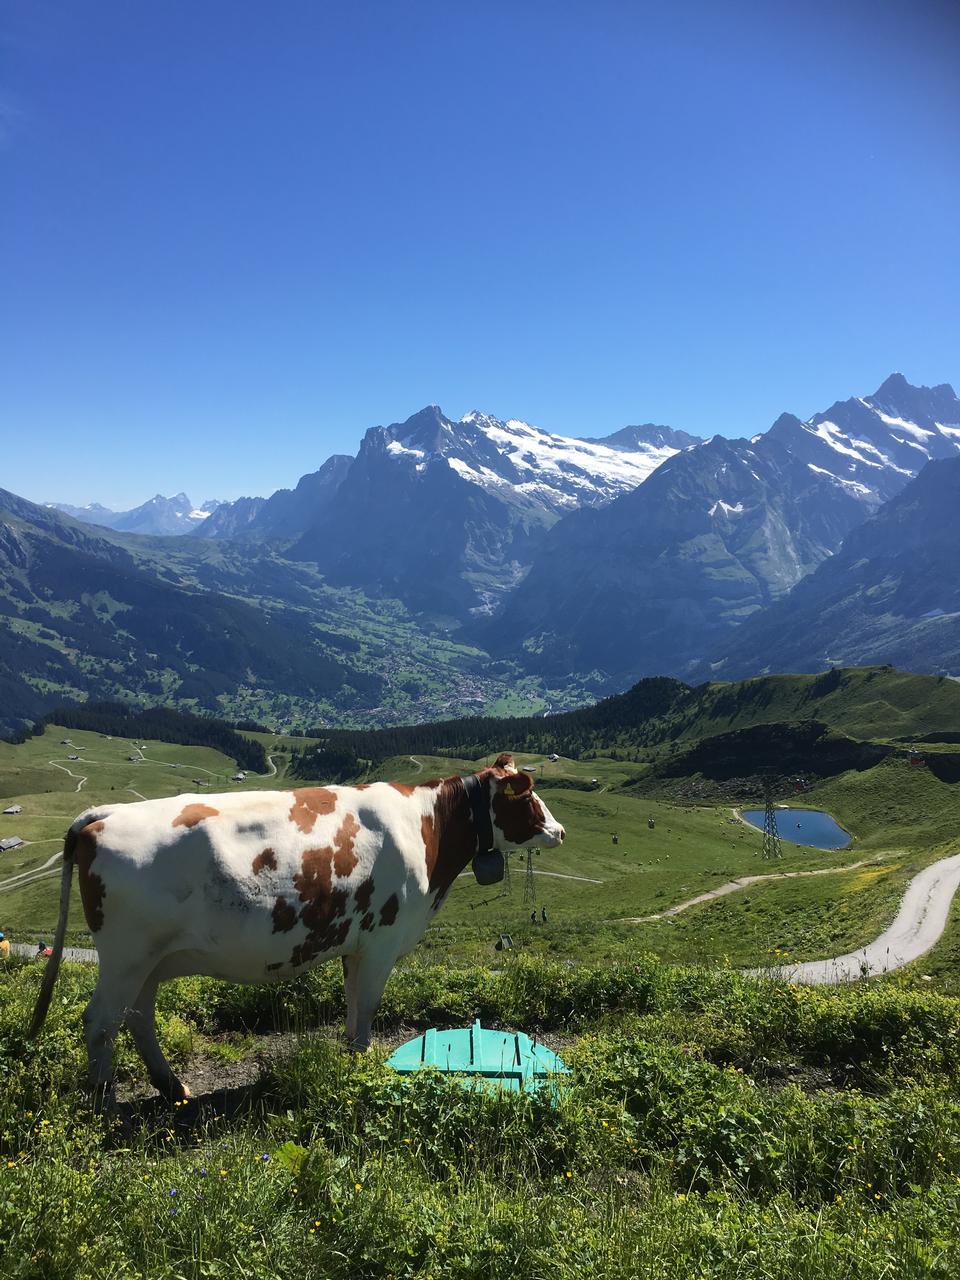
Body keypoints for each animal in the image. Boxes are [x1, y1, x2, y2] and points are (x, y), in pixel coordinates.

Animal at [30, 752, 568, 1105]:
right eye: (528, 797)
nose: (559, 831)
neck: (427, 827)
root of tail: (104, 815)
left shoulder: (356, 942)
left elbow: (352, 1002)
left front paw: (350, 1052)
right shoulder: (382, 939)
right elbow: (367, 1004)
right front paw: (361, 1062)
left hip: (149, 960)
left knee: (138, 1016)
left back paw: (170, 1086)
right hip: (126, 955)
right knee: (101, 1021)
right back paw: (104, 1101)